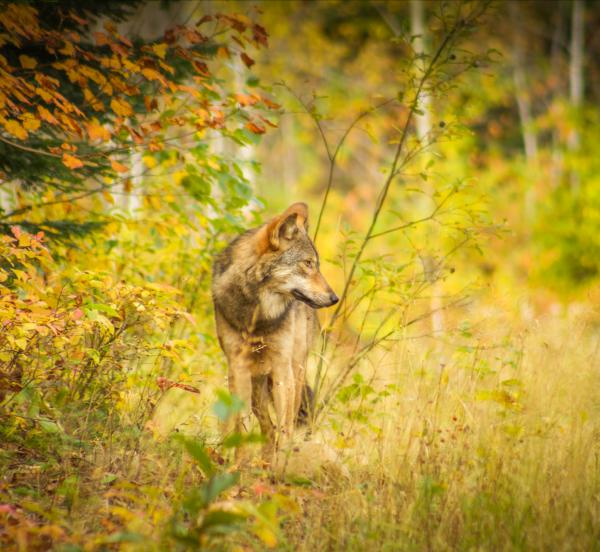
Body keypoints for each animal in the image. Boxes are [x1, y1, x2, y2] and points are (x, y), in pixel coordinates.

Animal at [212, 203, 340, 458]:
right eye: (308, 263)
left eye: (316, 264)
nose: (334, 298)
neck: (258, 315)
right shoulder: (238, 368)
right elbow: (242, 426)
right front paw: (238, 464)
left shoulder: (282, 368)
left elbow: (285, 426)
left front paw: (284, 459)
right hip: (256, 386)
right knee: (267, 429)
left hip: (295, 372)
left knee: (282, 423)